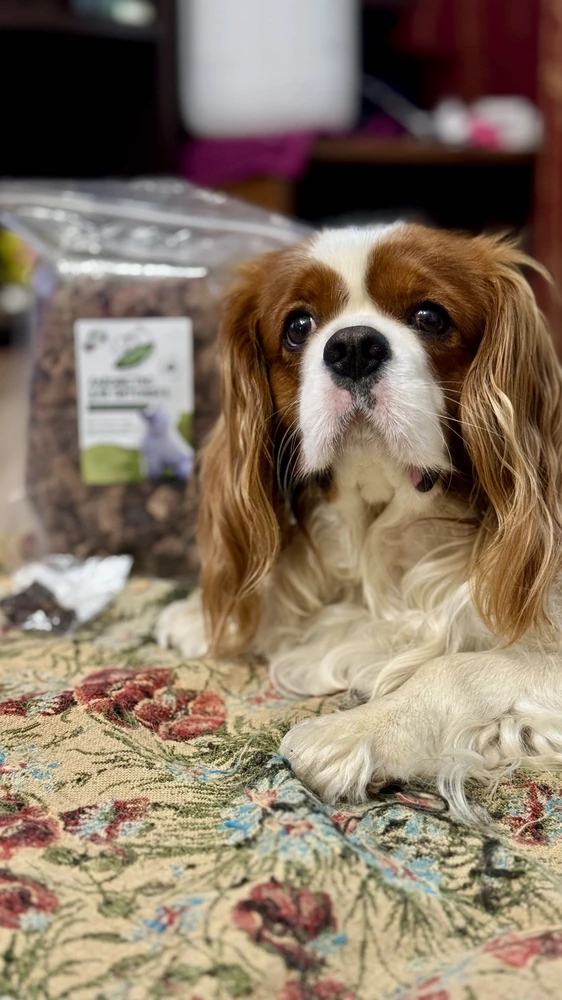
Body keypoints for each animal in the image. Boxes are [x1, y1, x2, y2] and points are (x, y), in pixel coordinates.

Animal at [154, 227, 562, 820]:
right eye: (298, 326)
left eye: (430, 316)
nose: (352, 347)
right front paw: (208, 619)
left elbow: (456, 669)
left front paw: (357, 728)